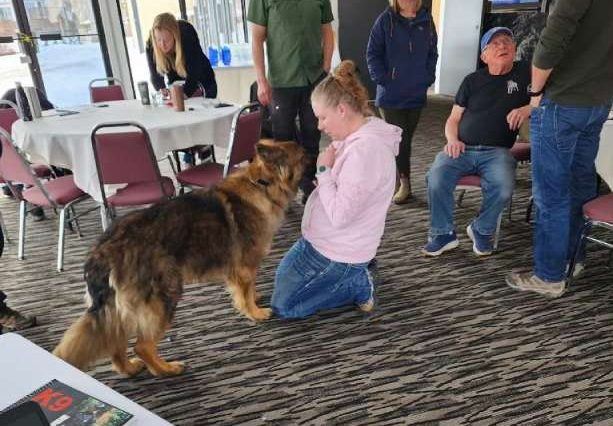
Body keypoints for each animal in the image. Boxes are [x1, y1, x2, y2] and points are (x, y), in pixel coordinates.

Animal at [53, 140, 304, 376]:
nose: (313, 152)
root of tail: (102, 251)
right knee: (142, 346)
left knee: (115, 339)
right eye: (303, 155)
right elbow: (245, 292)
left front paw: (255, 297)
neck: (261, 183)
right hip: (166, 295)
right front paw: (254, 312)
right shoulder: (245, 265)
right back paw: (165, 369)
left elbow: (247, 288)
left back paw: (129, 369)